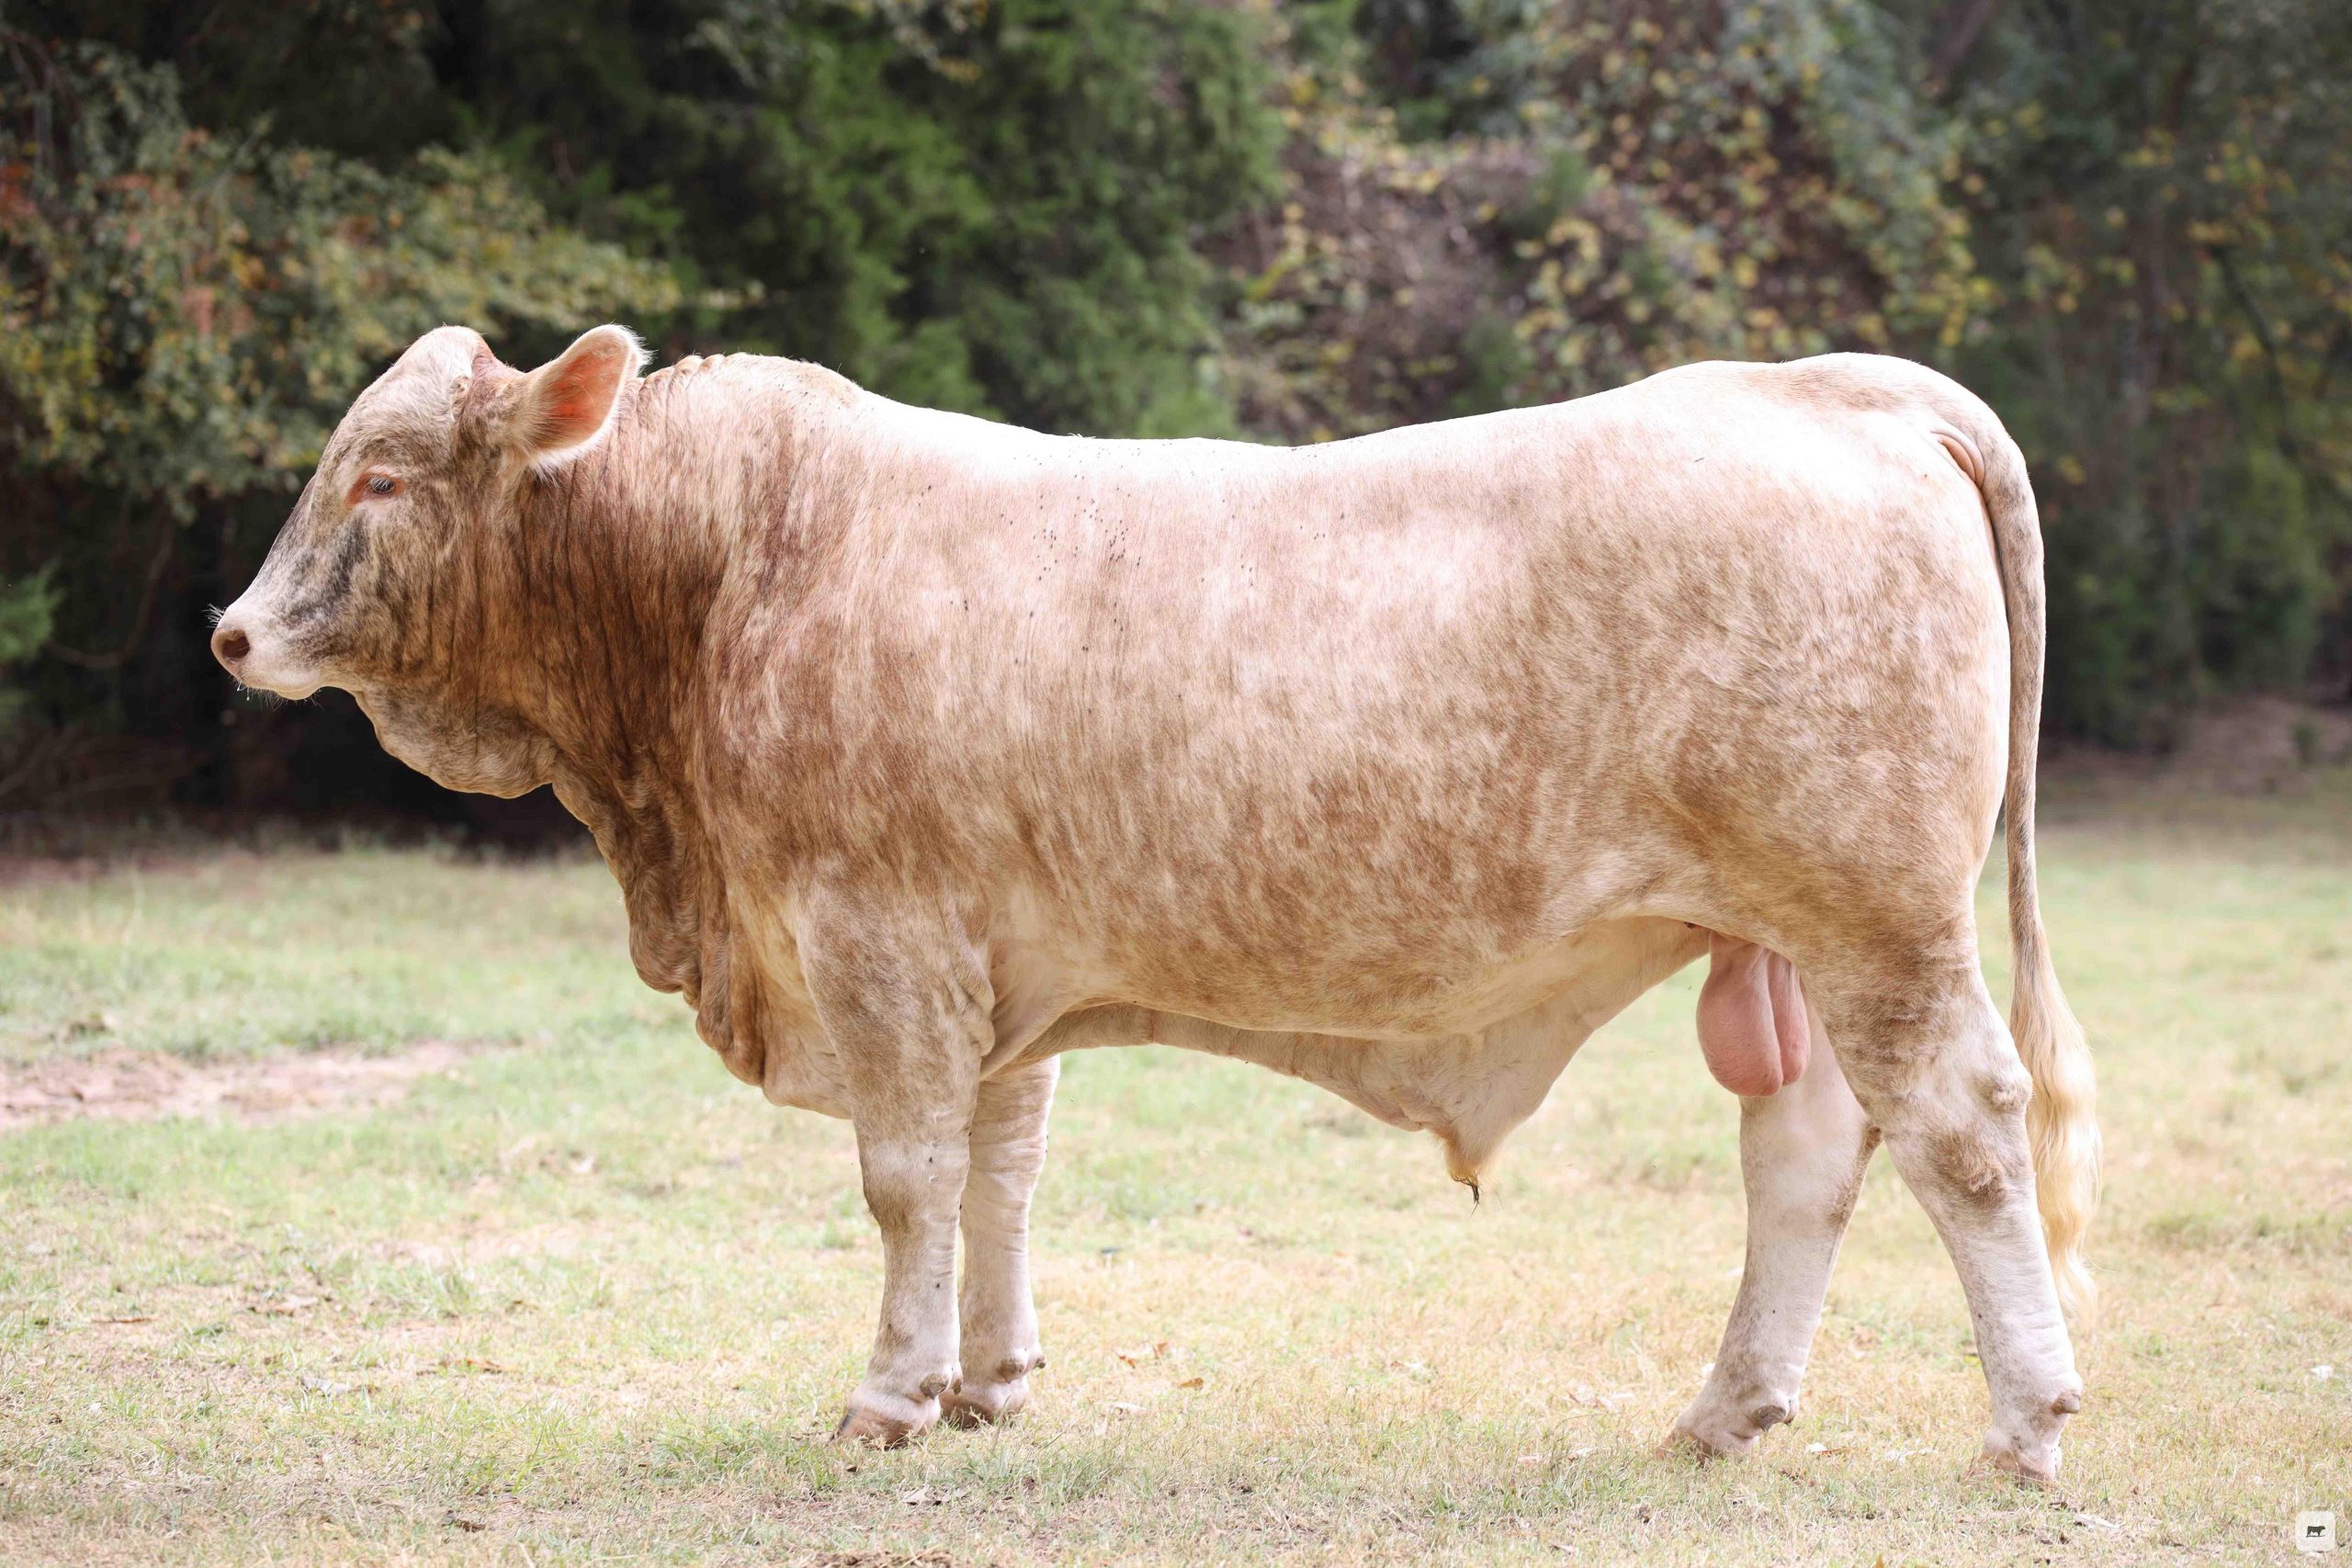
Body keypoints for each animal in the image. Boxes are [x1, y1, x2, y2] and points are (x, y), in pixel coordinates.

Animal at [213, 324, 2099, 1480]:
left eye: (380, 477)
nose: (232, 631)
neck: (734, 561)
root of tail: (1846, 385)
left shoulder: (878, 936)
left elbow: (906, 1177)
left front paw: (888, 1395)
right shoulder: (991, 961)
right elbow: (1001, 1163)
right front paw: (985, 1380)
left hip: (1879, 923)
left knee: (1968, 1130)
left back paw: (2028, 1417)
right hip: (1784, 939)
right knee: (1807, 1153)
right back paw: (1725, 1408)